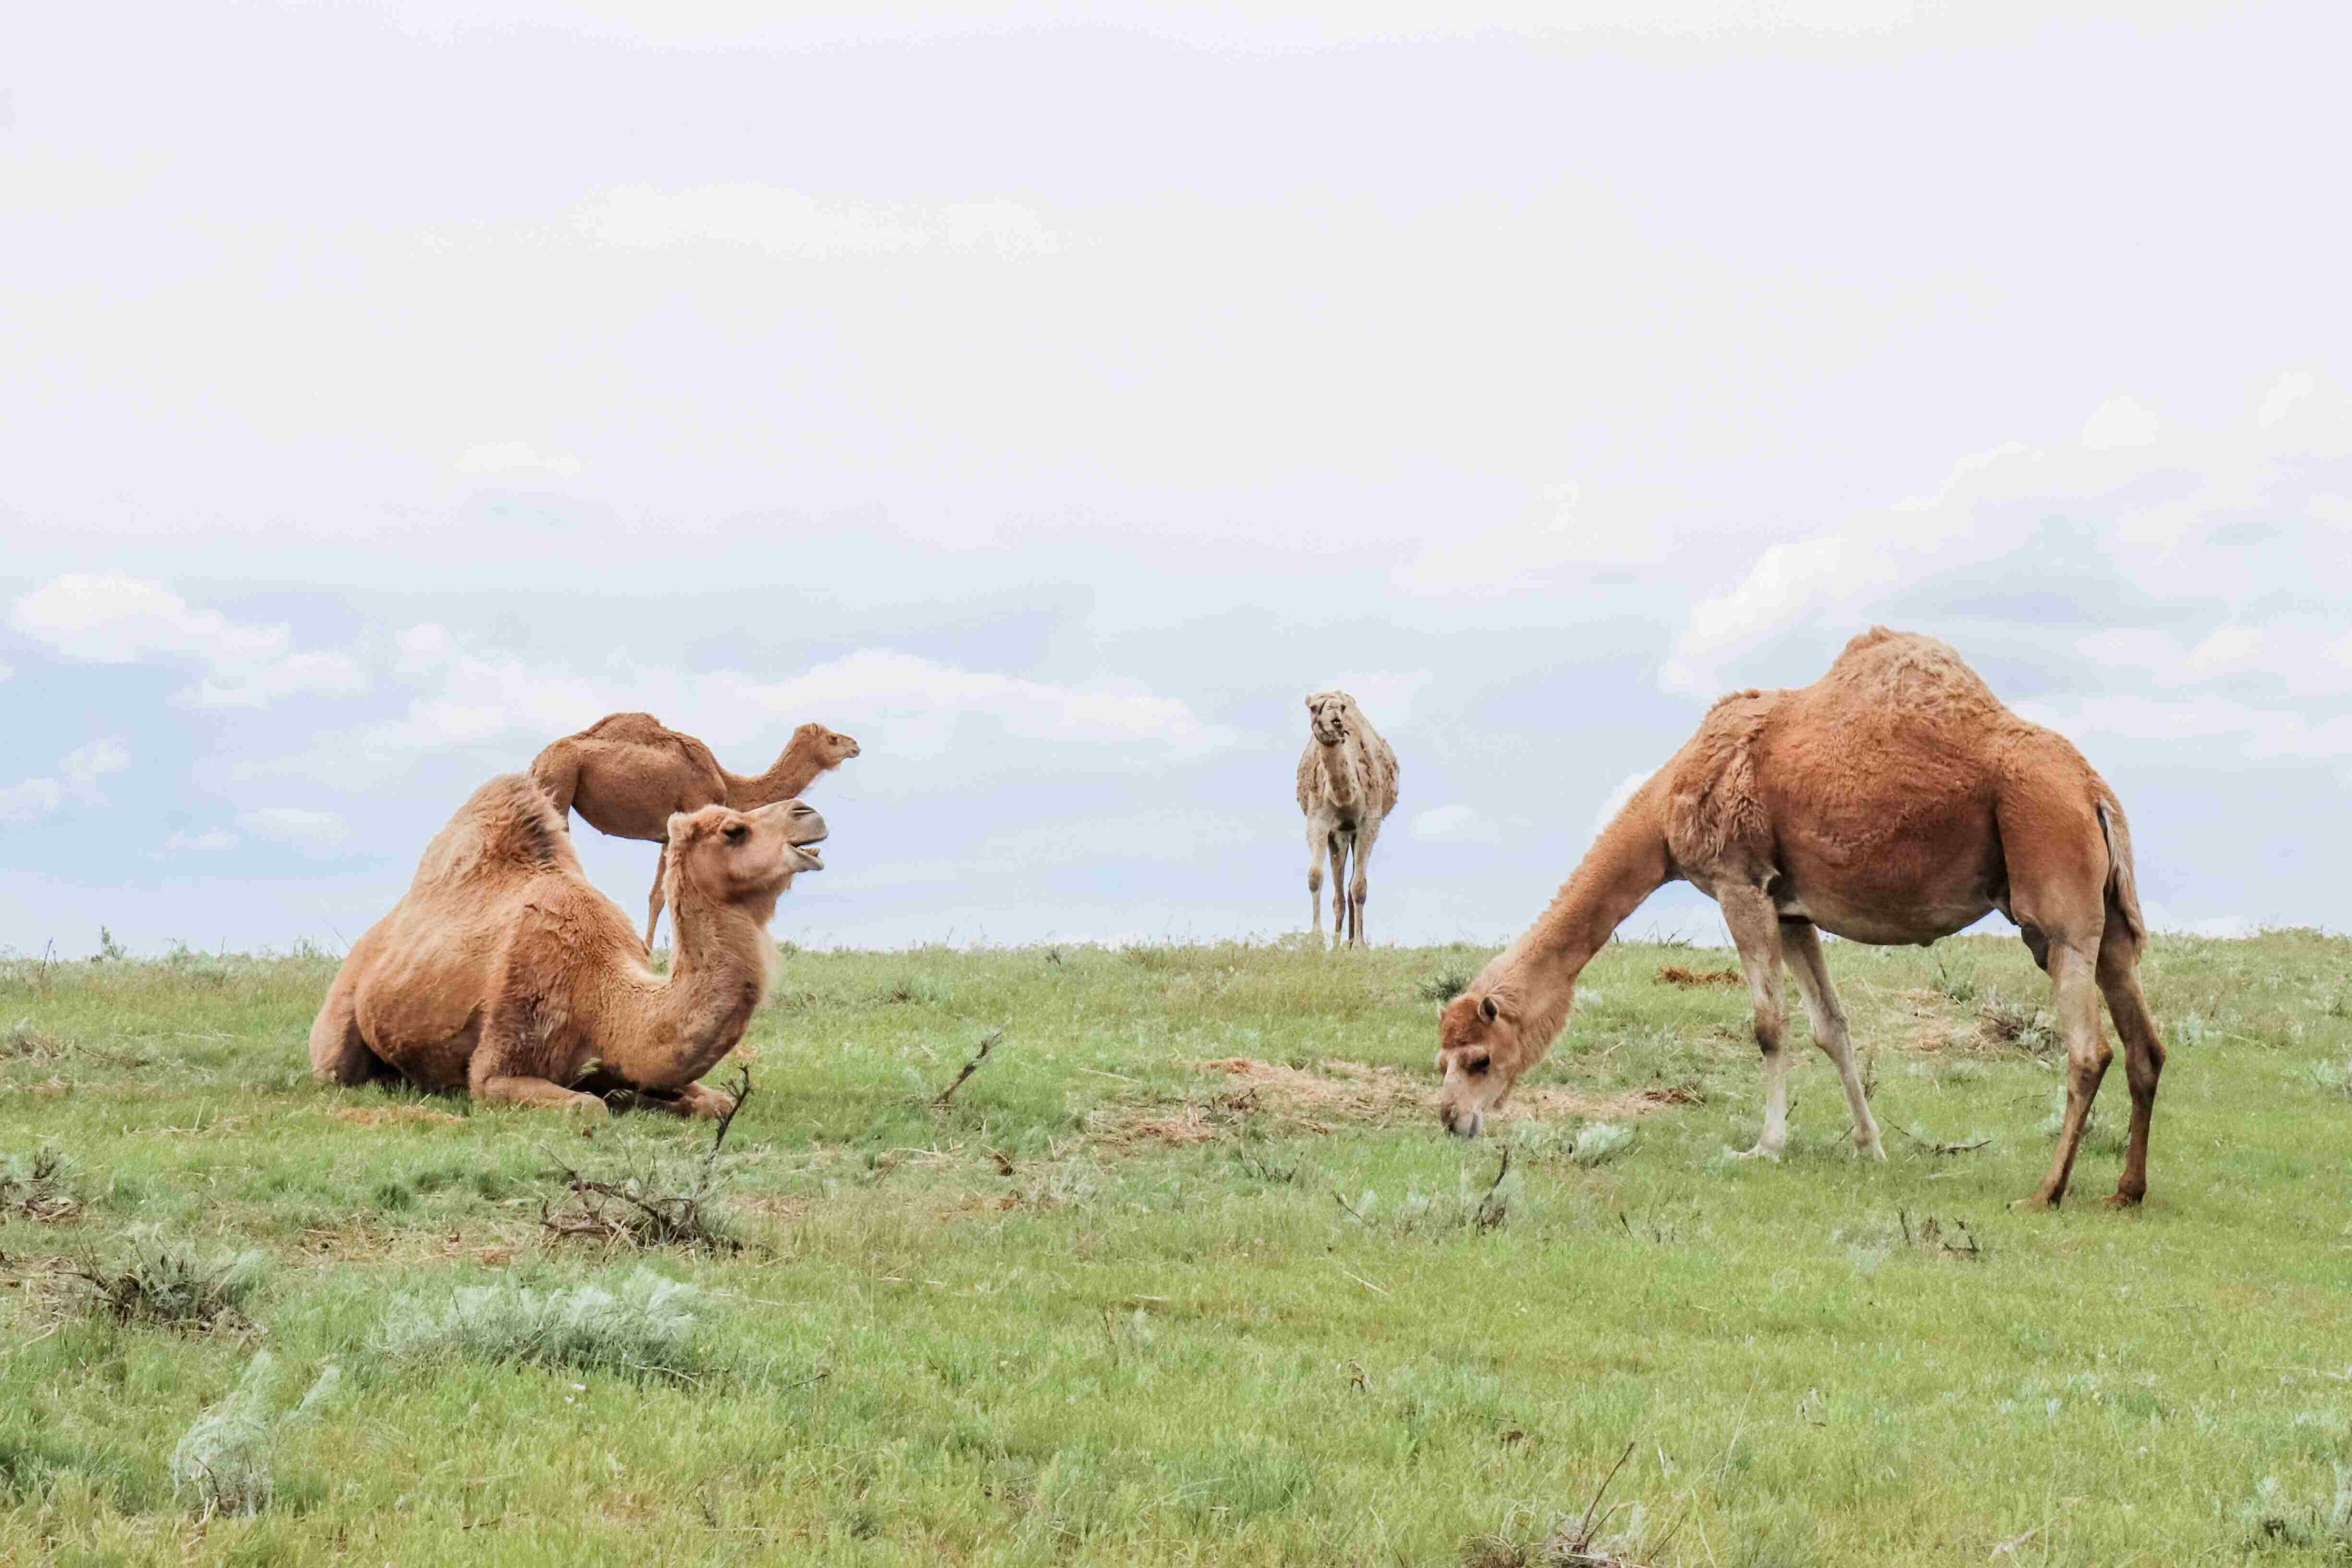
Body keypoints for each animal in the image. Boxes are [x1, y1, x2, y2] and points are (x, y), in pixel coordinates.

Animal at [307, 773, 826, 1118]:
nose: (809, 814)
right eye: (733, 831)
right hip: (340, 1020)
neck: (603, 987)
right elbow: (586, 1108)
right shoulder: (500, 1056)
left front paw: (634, 1094)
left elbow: (716, 1102)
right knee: (336, 1067)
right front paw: (615, 1099)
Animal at [531, 713, 859, 947]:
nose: (855, 745)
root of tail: (538, 762)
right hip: (560, 783)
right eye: (832, 739)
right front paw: (652, 954)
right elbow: (664, 894)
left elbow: (659, 894)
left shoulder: (667, 834)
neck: (729, 785)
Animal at [1296, 691, 1400, 948]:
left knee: (1352, 886)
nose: (1336, 720)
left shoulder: (1369, 823)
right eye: (1313, 708)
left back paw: (1352, 943)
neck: (1344, 796)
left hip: (1352, 832)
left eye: (1342, 708)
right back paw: (1338, 945)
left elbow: (1360, 887)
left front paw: (1361, 946)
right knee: (1340, 893)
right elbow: (1315, 876)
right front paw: (1317, 942)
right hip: (1339, 835)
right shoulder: (1318, 820)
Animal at [1435, 628, 2162, 1210]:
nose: (1448, 1120)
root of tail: (2093, 793)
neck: (1665, 811)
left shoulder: (1740, 882)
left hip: (2052, 896)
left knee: (2088, 1049)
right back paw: (2125, 1192)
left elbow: (1768, 1024)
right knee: (2144, 1044)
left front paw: (1764, 1146)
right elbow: (1830, 1025)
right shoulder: (1792, 908)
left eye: (1477, 1059)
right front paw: (1869, 1145)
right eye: (1440, 1057)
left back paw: (2045, 1192)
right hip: (2108, 919)